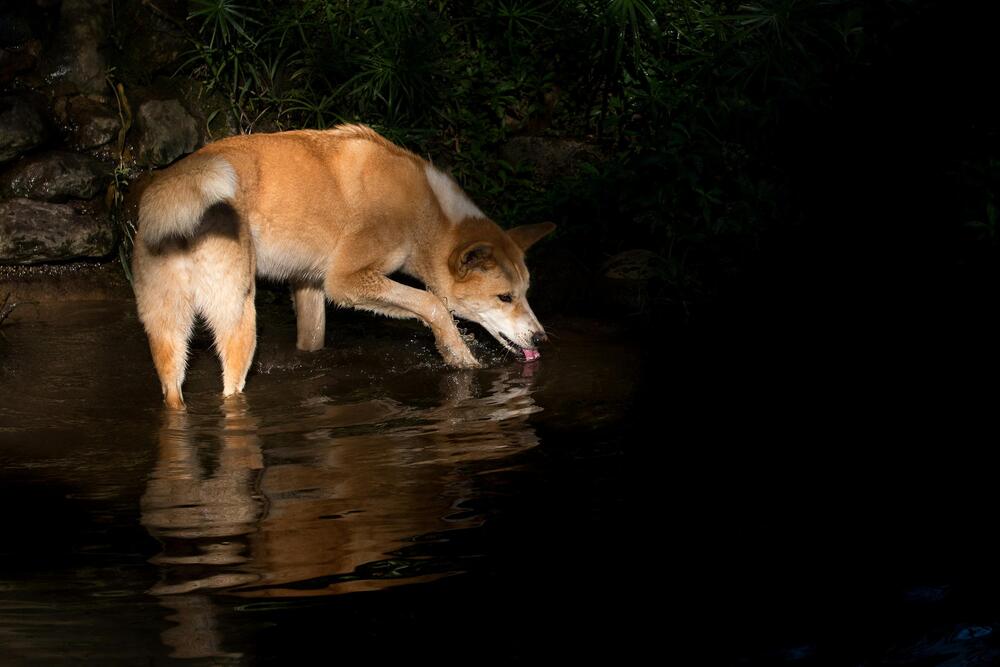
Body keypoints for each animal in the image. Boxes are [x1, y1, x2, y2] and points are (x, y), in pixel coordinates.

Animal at [132, 124, 556, 408]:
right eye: (504, 297)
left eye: (525, 293)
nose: (541, 340)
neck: (425, 213)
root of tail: (183, 178)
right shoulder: (346, 281)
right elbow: (432, 303)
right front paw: (459, 355)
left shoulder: (309, 285)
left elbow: (313, 339)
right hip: (239, 320)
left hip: (168, 333)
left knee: (173, 395)